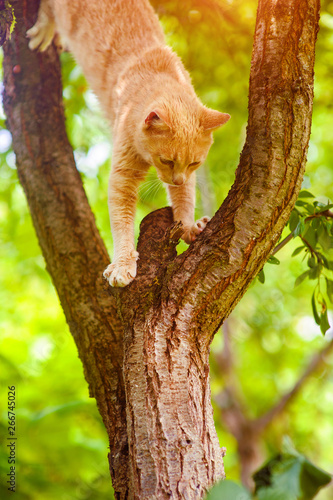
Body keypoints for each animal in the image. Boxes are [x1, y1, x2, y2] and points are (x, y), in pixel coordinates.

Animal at [27, 0, 228, 288]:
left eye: (194, 163)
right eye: (166, 160)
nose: (177, 179)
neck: (154, 73)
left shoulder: (186, 179)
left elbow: (184, 200)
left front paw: (189, 227)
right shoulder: (122, 177)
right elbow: (122, 223)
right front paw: (123, 264)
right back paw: (45, 28)